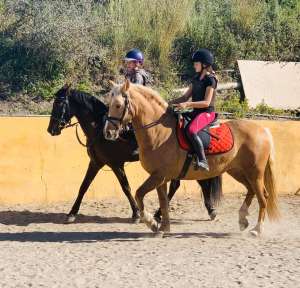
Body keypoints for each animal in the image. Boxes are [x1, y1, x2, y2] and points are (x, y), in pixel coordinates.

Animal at [47, 84, 220, 223]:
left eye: (58, 103)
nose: (51, 129)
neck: (99, 129)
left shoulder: (115, 164)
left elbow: (126, 188)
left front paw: (136, 213)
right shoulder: (96, 162)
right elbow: (83, 186)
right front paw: (71, 213)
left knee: (197, 182)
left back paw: (207, 210)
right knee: (186, 183)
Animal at [104, 80, 280, 236]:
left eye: (118, 105)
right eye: (109, 104)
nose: (108, 133)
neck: (160, 132)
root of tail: (262, 129)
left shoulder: (158, 176)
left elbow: (139, 194)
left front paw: (151, 222)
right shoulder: (160, 178)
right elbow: (163, 202)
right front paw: (163, 228)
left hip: (255, 173)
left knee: (262, 197)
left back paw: (257, 230)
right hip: (237, 171)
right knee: (251, 190)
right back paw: (243, 220)